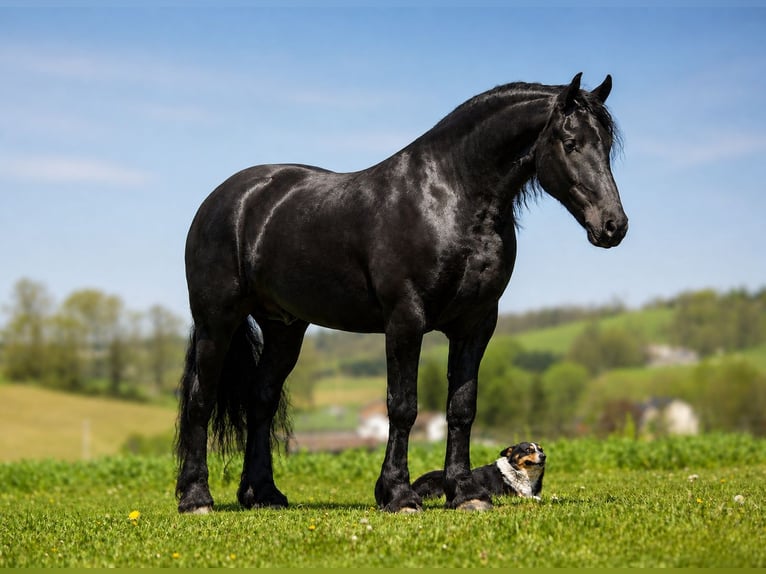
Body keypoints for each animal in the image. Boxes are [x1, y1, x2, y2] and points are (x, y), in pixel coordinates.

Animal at [174, 72, 628, 514]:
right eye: (570, 143)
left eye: (606, 146)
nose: (613, 226)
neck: (449, 198)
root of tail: (227, 199)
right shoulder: (406, 319)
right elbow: (404, 406)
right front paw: (398, 494)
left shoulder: (476, 324)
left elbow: (461, 408)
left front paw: (465, 493)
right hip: (218, 322)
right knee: (200, 398)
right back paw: (196, 498)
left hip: (284, 328)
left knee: (261, 400)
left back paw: (263, 494)